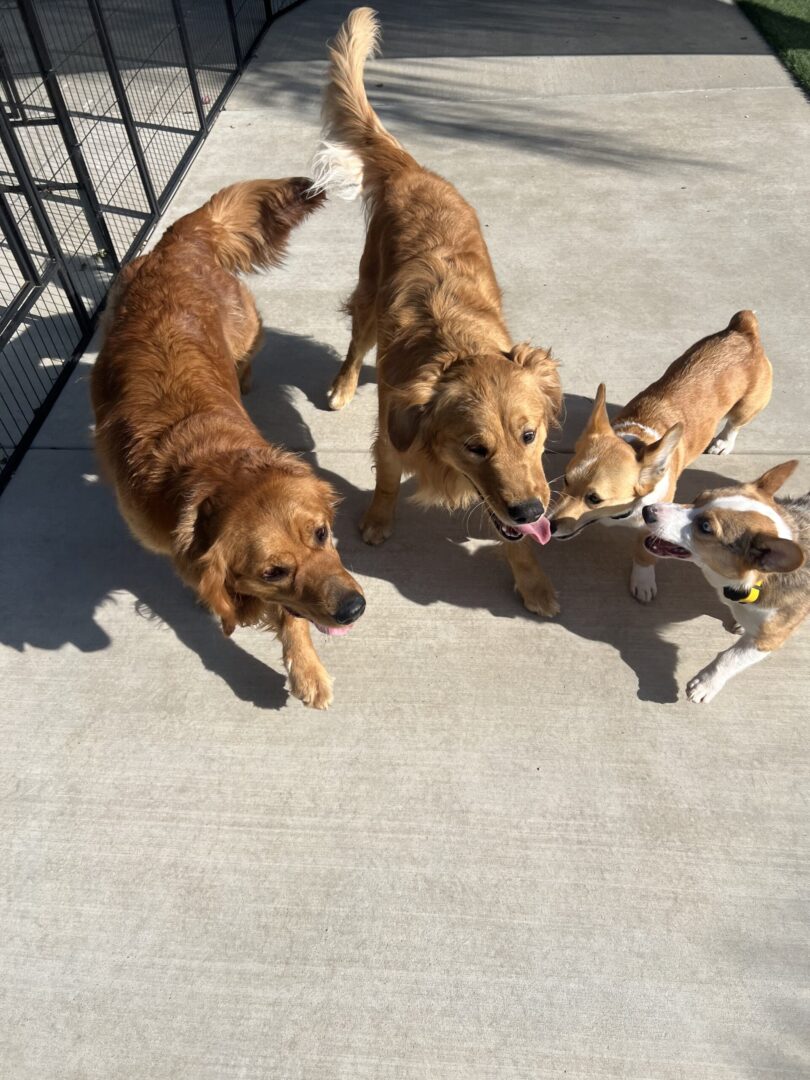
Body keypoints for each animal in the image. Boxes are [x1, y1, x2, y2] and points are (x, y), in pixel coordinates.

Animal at [91, 179, 365, 708]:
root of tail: (177, 245)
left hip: (246, 328)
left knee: (247, 354)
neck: (208, 465)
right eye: (273, 572)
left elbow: (292, 619)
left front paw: (307, 669)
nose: (353, 609)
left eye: (322, 534)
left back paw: (246, 377)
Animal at [311, 6, 565, 617]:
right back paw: (342, 386)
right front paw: (378, 520)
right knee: (355, 345)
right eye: (476, 447)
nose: (533, 511)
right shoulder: (392, 430)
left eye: (530, 435)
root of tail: (413, 169)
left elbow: (512, 539)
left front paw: (533, 581)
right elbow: (384, 480)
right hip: (369, 293)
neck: (457, 347)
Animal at [552, 313, 773, 604]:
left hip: (746, 408)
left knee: (735, 424)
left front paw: (643, 581)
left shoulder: (652, 524)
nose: (549, 525)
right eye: (566, 480)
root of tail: (743, 329)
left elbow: (644, 553)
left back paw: (724, 442)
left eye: (594, 499)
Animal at [643, 460, 807, 704]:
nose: (647, 511)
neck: (756, 581)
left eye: (706, 527)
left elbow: (730, 658)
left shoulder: (768, 639)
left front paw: (705, 685)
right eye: (698, 497)